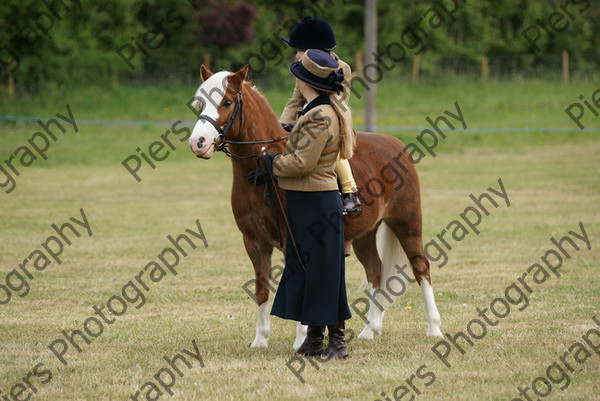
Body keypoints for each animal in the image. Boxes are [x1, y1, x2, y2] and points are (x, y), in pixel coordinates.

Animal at [190, 65, 442, 346]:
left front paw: (302, 339)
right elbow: (262, 288)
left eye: (227, 102)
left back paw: (434, 328)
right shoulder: (254, 243)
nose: (198, 142)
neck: (263, 174)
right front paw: (260, 340)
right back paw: (370, 330)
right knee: (375, 271)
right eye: (200, 103)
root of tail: (395, 144)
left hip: (407, 224)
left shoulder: (297, 240)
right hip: (365, 235)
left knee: (421, 268)